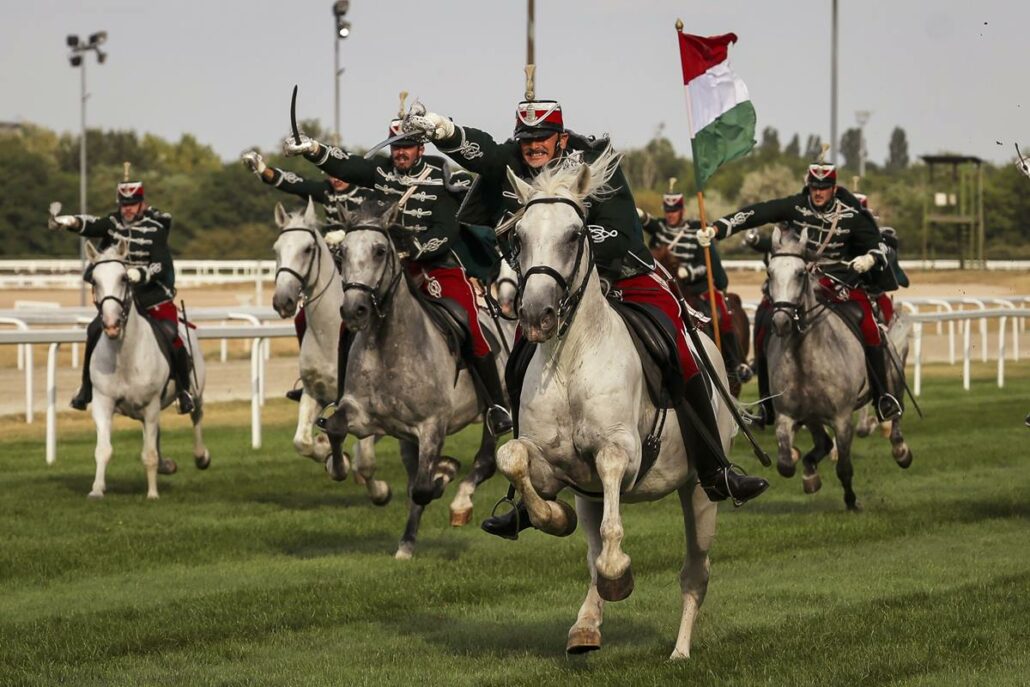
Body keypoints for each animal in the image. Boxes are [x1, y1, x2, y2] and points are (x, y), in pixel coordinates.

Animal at [82, 242, 211, 500]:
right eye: (94, 281)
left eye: (123, 278)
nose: (111, 325)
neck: (124, 356)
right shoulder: (103, 403)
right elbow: (103, 449)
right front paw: (97, 489)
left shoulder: (151, 405)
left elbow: (148, 454)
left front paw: (152, 494)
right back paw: (166, 465)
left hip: (195, 392)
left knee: (196, 416)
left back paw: (201, 457)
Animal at [269, 198, 383, 500]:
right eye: (276, 249)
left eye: (308, 249)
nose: (282, 300)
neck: (330, 335)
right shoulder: (313, 394)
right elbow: (302, 442)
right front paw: (329, 455)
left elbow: (365, 459)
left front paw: (378, 488)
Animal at [323, 201, 508, 560]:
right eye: (342, 253)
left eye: (380, 251)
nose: (354, 310)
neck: (389, 347)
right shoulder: (365, 417)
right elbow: (337, 429)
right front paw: (337, 467)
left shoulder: (432, 426)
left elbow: (423, 488)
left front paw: (445, 471)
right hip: (406, 439)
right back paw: (406, 544)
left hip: (495, 411)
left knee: (486, 459)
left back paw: (461, 499)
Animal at [492, 150, 725, 659]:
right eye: (519, 236)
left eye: (574, 235)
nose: (536, 315)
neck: (570, 361)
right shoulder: (553, 466)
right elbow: (512, 456)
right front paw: (550, 517)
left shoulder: (621, 453)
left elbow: (613, 519)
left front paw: (620, 576)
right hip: (590, 496)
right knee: (593, 550)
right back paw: (586, 626)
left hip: (700, 491)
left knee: (694, 572)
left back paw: (679, 651)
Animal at [762, 228, 914, 508]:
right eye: (770, 273)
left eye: (800, 273)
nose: (780, 322)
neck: (805, 357)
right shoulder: (787, 415)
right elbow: (785, 463)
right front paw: (809, 475)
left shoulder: (842, 420)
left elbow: (844, 467)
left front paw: (852, 501)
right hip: (812, 416)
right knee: (820, 441)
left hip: (893, 383)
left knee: (895, 416)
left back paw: (901, 451)